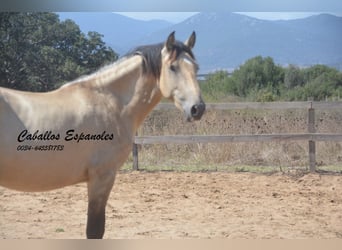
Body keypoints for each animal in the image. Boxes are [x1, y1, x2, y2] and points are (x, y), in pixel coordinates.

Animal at [0, 31, 204, 238]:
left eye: (196, 67)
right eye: (172, 67)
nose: (197, 108)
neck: (110, 102)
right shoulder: (102, 177)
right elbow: (95, 230)